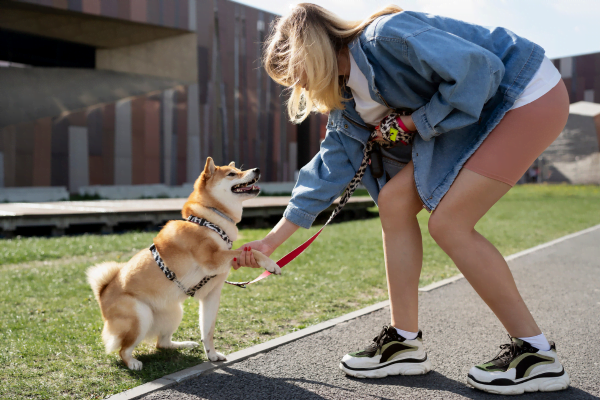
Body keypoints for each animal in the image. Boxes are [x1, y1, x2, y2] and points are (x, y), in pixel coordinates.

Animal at [86, 158, 282, 370]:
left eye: (239, 169)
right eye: (232, 174)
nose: (257, 169)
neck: (210, 222)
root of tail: (102, 293)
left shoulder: (212, 295)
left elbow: (208, 331)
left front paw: (212, 355)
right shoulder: (212, 260)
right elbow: (249, 251)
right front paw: (271, 264)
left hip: (174, 313)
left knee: (161, 343)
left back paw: (184, 344)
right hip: (141, 316)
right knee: (123, 350)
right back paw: (132, 363)